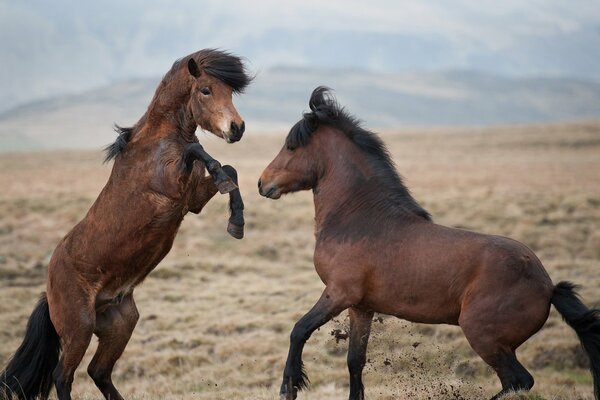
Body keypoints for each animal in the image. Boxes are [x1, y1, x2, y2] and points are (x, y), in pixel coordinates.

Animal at [0, 49, 251, 400]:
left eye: (230, 92)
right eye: (205, 90)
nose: (237, 128)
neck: (157, 141)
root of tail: (49, 292)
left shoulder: (192, 200)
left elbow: (229, 170)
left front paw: (236, 222)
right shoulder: (173, 186)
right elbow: (198, 150)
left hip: (121, 323)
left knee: (99, 371)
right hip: (79, 328)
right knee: (62, 375)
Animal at [260, 87, 600, 400]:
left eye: (291, 145)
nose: (263, 183)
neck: (360, 217)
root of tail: (547, 285)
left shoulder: (339, 293)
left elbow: (299, 329)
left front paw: (289, 386)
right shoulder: (361, 307)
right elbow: (355, 361)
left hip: (485, 338)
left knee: (518, 382)